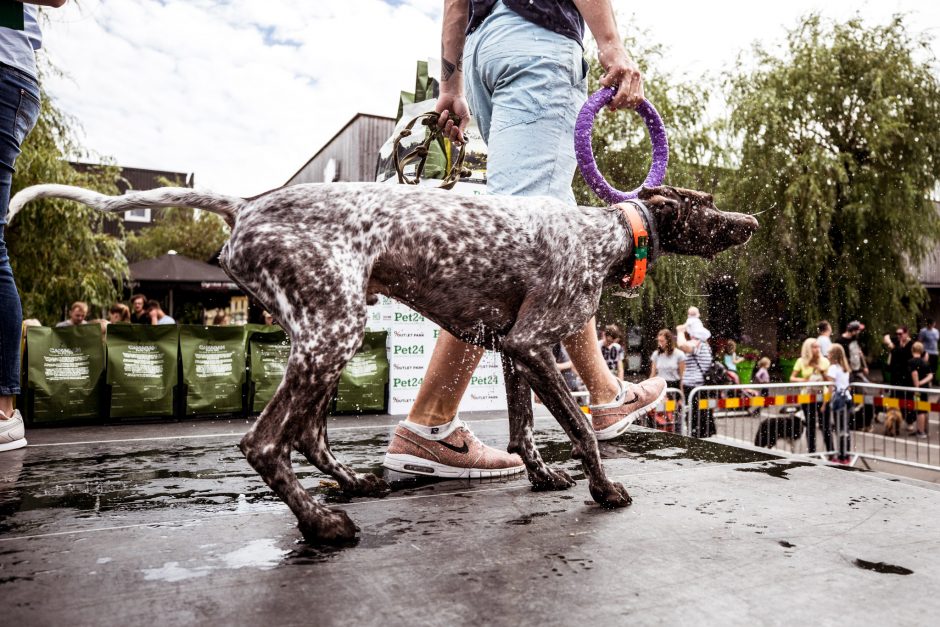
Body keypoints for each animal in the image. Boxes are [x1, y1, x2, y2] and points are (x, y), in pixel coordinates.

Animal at [9, 183, 756, 544]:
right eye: (706, 204)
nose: (749, 222)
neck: (605, 234)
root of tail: (248, 205)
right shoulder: (534, 343)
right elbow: (576, 423)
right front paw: (604, 487)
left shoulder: (515, 347)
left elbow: (524, 427)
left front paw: (542, 475)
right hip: (331, 336)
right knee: (264, 441)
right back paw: (320, 523)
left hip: (325, 335)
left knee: (308, 434)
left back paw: (349, 486)